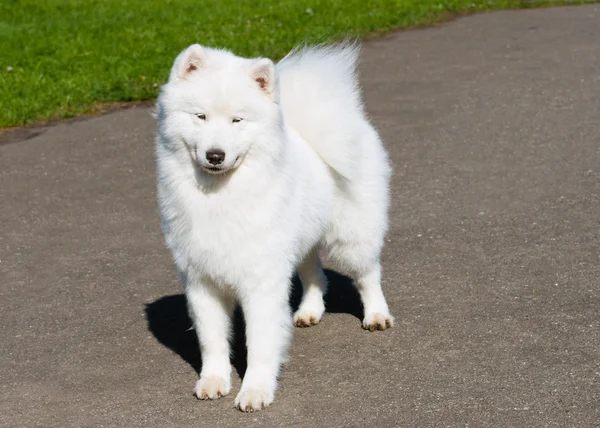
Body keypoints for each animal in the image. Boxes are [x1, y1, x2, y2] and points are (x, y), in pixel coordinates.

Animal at [156, 42, 394, 412]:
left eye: (237, 120)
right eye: (201, 116)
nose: (215, 154)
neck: (219, 196)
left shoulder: (261, 283)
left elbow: (260, 344)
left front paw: (255, 391)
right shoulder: (201, 281)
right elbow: (212, 342)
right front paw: (213, 381)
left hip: (352, 237)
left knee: (368, 275)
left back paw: (377, 316)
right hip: (300, 240)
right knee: (315, 274)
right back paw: (309, 311)